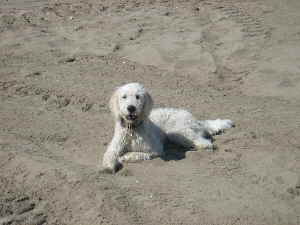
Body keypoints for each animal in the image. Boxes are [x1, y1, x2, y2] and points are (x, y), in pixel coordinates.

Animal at [102, 83, 233, 173]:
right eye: (124, 97)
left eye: (137, 96)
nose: (131, 108)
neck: (132, 129)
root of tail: (196, 120)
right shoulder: (115, 145)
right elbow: (110, 153)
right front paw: (108, 166)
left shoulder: (155, 149)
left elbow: (138, 154)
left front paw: (125, 156)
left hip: (178, 132)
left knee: (206, 143)